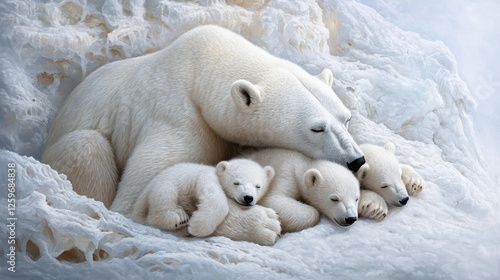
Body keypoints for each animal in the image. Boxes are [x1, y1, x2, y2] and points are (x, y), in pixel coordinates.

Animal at [131, 160, 276, 238]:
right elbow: (216, 200)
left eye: (258, 186)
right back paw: (178, 218)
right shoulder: (206, 177)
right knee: (164, 196)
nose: (248, 198)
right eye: (236, 183)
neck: (217, 172)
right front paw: (197, 226)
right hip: (164, 184)